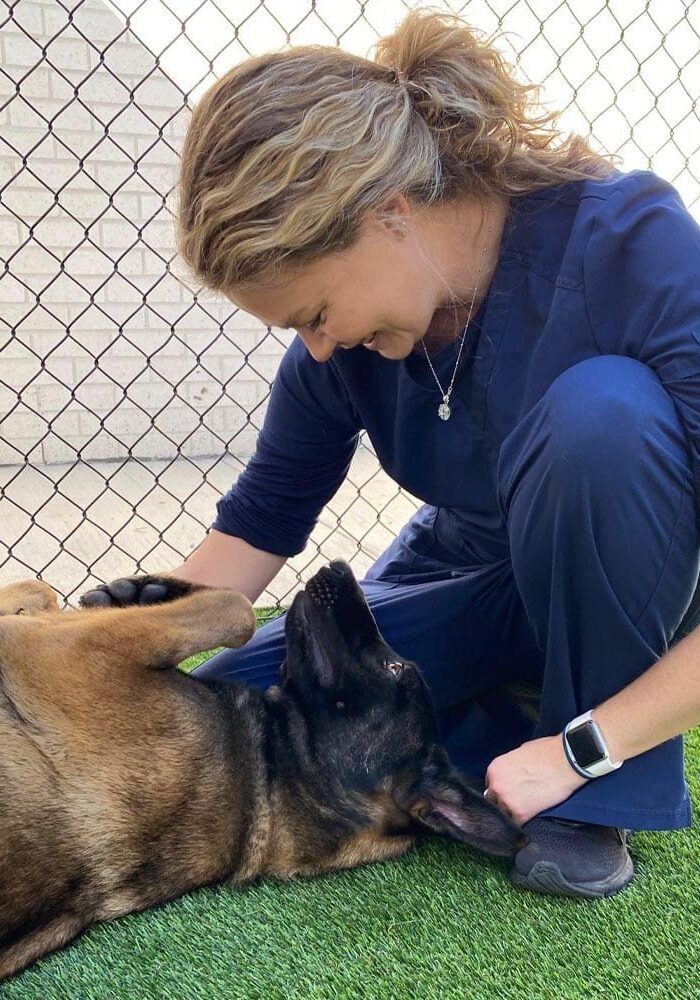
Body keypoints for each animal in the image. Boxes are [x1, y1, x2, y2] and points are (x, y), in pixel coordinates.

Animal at [0, 560, 524, 980]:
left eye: (395, 668)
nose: (338, 565)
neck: (265, 780)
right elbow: (40, 589)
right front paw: (143, 590)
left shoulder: (52, 651)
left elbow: (237, 609)